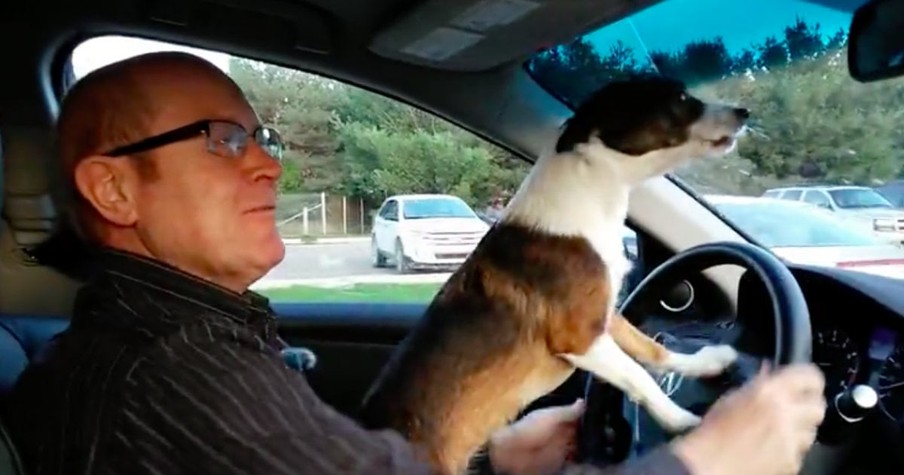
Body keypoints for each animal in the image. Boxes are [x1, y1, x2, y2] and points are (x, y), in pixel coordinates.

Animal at [358, 75, 748, 475]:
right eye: (681, 98)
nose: (743, 112)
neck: (589, 196)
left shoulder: (605, 316)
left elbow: (652, 348)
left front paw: (705, 363)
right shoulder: (580, 337)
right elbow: (638, 376)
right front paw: (681, 420)